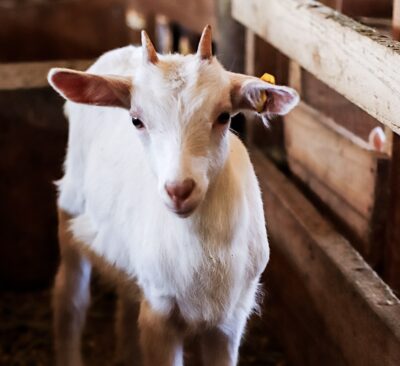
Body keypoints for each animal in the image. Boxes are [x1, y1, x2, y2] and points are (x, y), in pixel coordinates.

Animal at [47, 26, 296, 366]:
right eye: (137, 120)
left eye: (224, 116)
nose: (179, 190)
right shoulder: (160, 312)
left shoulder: (230, 319)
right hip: (71, 204)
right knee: (70, 298)